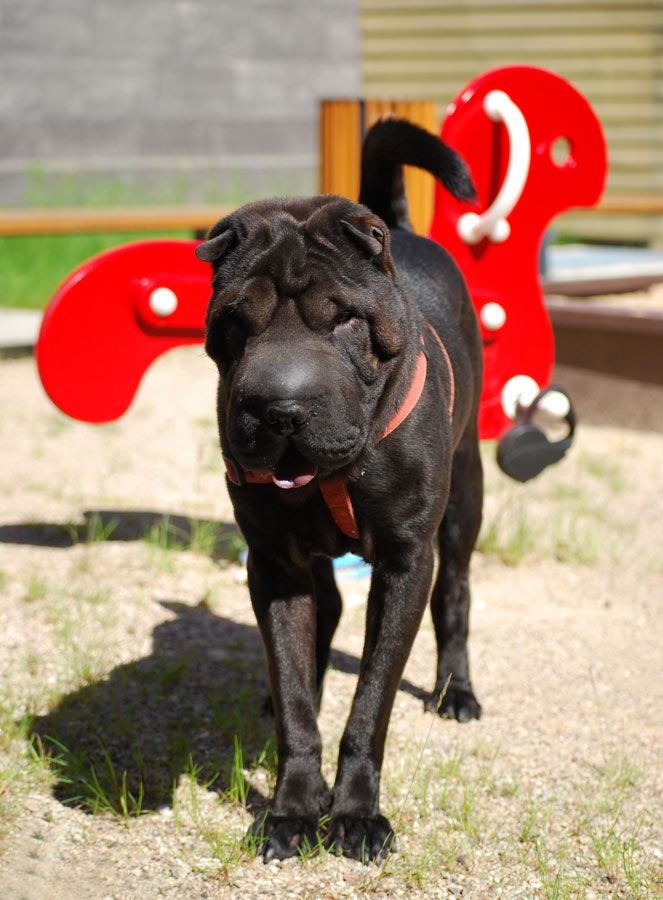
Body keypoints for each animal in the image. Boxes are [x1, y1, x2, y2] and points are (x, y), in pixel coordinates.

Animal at [195, 118, 483, 864]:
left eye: (344, 320)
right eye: (237, 321)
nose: (280, 408)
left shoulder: (405, 561)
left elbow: (372, 700)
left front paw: (354, 814)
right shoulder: (273, 563)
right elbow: (297, 702)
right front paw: (293, 809)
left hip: (464, 501)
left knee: (456, 597)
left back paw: (457, 691)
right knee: (322, 613)